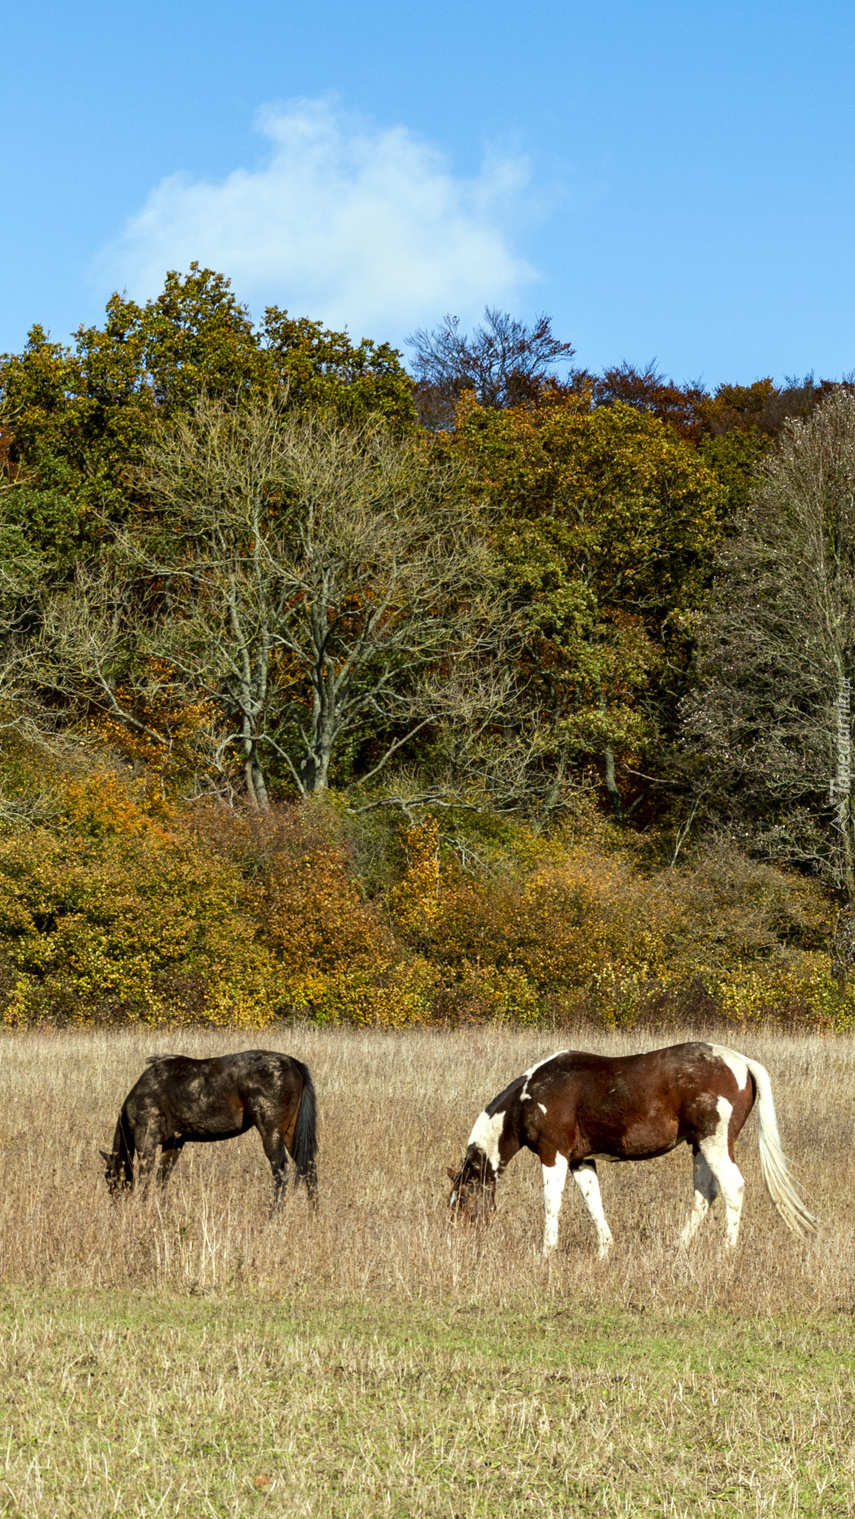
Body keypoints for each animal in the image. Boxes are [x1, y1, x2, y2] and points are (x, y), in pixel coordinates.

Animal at [101, 1051, 318, 1203]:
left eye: (109, 1177)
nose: (115, 1205)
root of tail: (293, 1063)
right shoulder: (174, 1143)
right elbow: (162, 1178)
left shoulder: (146, 1139)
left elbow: (146, 1177)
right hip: (290, 1133)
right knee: (309, 1170)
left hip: (271, 1132)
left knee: (280, 1171)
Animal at [449, 1045, 813, 1257]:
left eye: (463, 1200)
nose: (458, 1243)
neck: (530, 1097)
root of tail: (743, 1062)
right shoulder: (581, 1160)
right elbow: (593, 1202)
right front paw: (604, 1251)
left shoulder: (554, 1155)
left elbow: (552, 1203)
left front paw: (546, 1252)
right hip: (699, 1146)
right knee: (704, 1194)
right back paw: (678, 1248)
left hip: (714, 1143)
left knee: (732, 1188)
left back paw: (727, 1252)